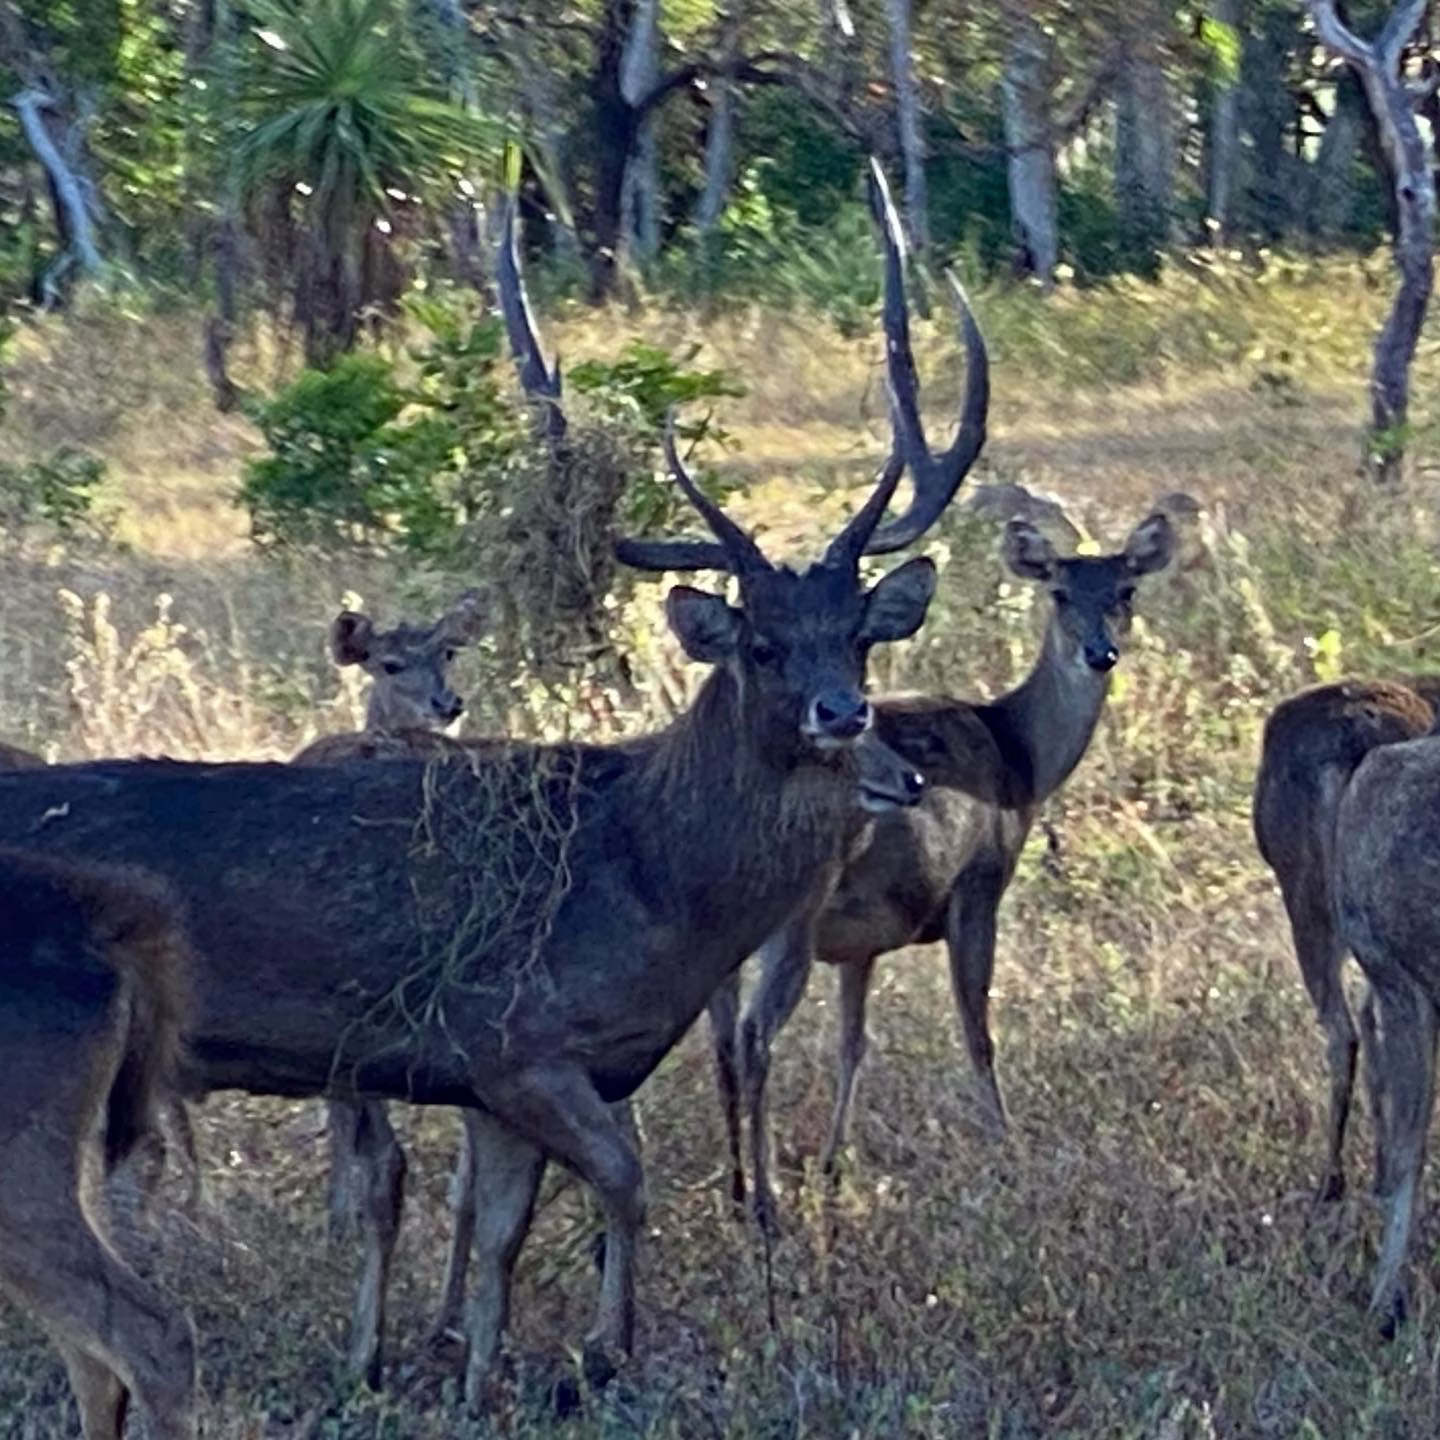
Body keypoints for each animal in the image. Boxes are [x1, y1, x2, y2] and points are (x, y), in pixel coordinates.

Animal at [708, 508, 1177, 1227]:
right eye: (1059, 593)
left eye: (1125, 591)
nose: (1100, 654)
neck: (1019, 756)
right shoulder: (978, 884)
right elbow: (977, 1029)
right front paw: (1005, 1143)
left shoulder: (860, 943)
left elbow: (853, 1043)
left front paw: (834, 1162)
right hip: (791, 918)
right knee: (753, 1035)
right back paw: (765, 1202)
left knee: (723, 1045)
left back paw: (736, 1192)